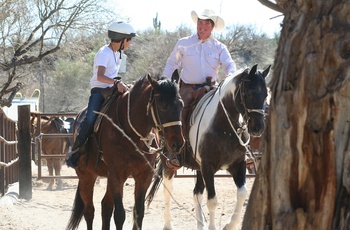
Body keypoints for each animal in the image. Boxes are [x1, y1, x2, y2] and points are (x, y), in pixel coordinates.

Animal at [66, 73, 185, 230]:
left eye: (181, 105)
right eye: (162, 105)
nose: (178, 143)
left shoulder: (144, 176)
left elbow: (138, 212)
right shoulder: (117, 175)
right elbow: (120, 215)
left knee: (105, 206)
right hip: (87, 176)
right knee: (89, 211)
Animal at [146, 63, 270, 229]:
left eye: (265, 95)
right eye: (249, 93)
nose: (258, 128)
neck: (224, 126)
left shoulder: (238, 164)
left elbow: (242, 193)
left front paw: (229, 225)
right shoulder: (207, 166)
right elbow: (212, 200)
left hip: (198, 168)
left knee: (197, 193)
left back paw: (200, 224)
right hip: (169, 163)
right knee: (168, 190)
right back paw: (168, 224)